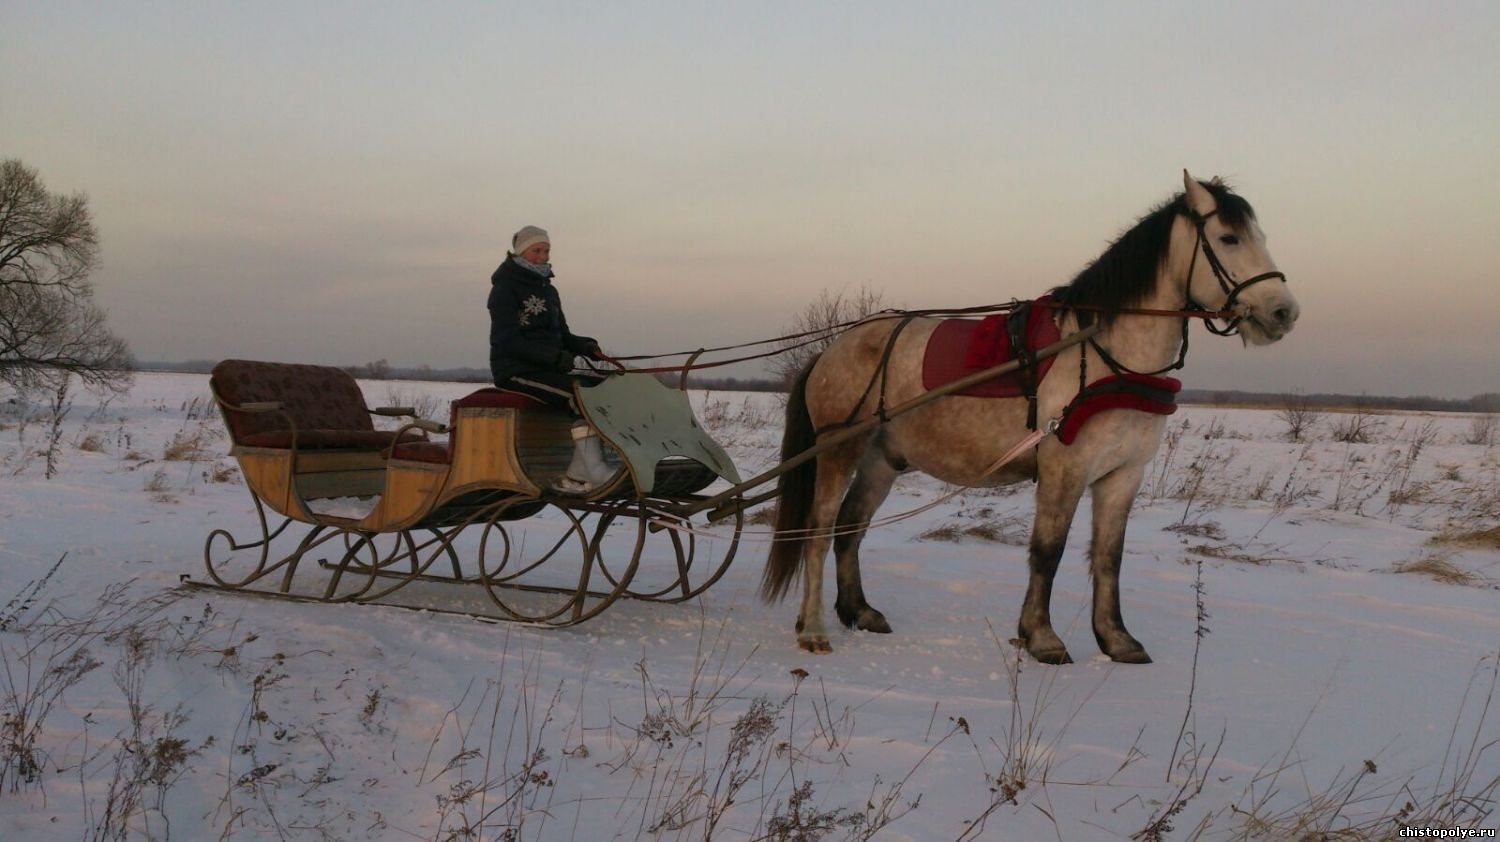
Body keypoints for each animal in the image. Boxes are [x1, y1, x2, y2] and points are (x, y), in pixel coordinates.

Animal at [762, 172, 1302, 663]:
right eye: (1229, 238)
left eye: (1261, 237)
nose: (1284, 312)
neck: (1104, 354)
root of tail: (833, 349)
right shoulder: (1064, 469)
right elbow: (1048, 551)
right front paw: (1042, 638)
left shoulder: (1123, 474)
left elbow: (1109, 557)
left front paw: (1117, 640)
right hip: (839, 449)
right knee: (818, 529)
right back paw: (813, 628)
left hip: (882, 459)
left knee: (850, 528)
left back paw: (859, 611)